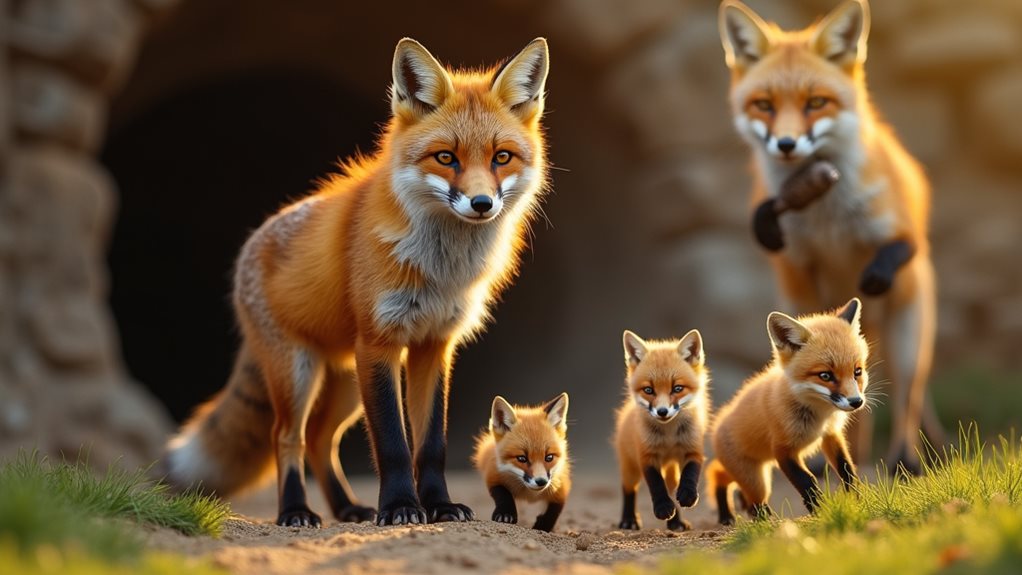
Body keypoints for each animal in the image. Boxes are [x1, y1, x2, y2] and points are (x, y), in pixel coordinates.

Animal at [162, 37, 552, 527]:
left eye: (502, 157)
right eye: (446, 157)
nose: (482, 203)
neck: (440, 270)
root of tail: (252, 246)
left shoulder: (433, 346)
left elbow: (431, 444)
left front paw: (439, 505)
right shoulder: (380, 344)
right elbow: (393, 444)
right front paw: (401, 507)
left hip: (346, 381)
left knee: (318, 439)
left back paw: (347, 507)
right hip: (299, 371)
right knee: (286, 437)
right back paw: (295, 510)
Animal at [472, 393, 571, 532]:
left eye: (549, 457)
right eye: (522, 458)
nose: (541, 481)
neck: (528, 495)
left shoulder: (561, 485)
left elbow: (554, 510)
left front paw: (542, 526)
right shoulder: (493, 474)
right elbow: (503, 493)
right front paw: (505, 513)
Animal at [614, 329, 709, 532]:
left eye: (677, 388)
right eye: (649, 390)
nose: (662, 411)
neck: (669, 437)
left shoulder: (693, 449)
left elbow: (691, 473)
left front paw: (688, 495)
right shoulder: (647, 455)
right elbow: (656, 484)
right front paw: (663, 507)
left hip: (671, 470)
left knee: (672, 487)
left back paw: (676, 523)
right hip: (630, 467)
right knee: (628, 490)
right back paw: (629, 520)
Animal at [706, 298, 868, 525]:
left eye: (857, 372)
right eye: (825, 375)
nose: (856, 402)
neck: (819, 414)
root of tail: (718, 425)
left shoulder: (830, 435)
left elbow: (848, 471)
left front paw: (857, 501)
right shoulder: (782, 449)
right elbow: (807, 480)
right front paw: (821, 510)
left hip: (757, 473)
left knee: (723, 477)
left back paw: (729, 514)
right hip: (757, 479)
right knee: (749, 497)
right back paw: (756, 520)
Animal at [718, 0, 941, 472]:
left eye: (816, 103)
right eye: (764, 105)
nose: (785, 144)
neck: (826, 216)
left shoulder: (902, 229)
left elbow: (898, 247)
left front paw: (873, 277)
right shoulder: (795, 266)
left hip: (908, 341)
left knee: (906, 402)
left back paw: (903, 460)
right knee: (855, 415)